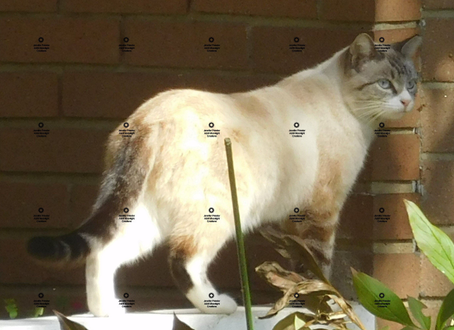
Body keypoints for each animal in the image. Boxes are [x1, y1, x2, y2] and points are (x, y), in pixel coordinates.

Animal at [26, 33, 420, 318]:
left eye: (412, 83)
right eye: (386, 84)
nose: (407, 102)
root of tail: (147, 117)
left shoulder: (295, 216)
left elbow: (297, 266)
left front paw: (295, 299)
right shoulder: (322, 208)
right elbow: (318, 264)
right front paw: (323, 303)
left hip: (145, 216)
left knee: (103, 253)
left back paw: (107, 312)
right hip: (221, 209)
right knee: (182, 259)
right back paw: (220, 305)